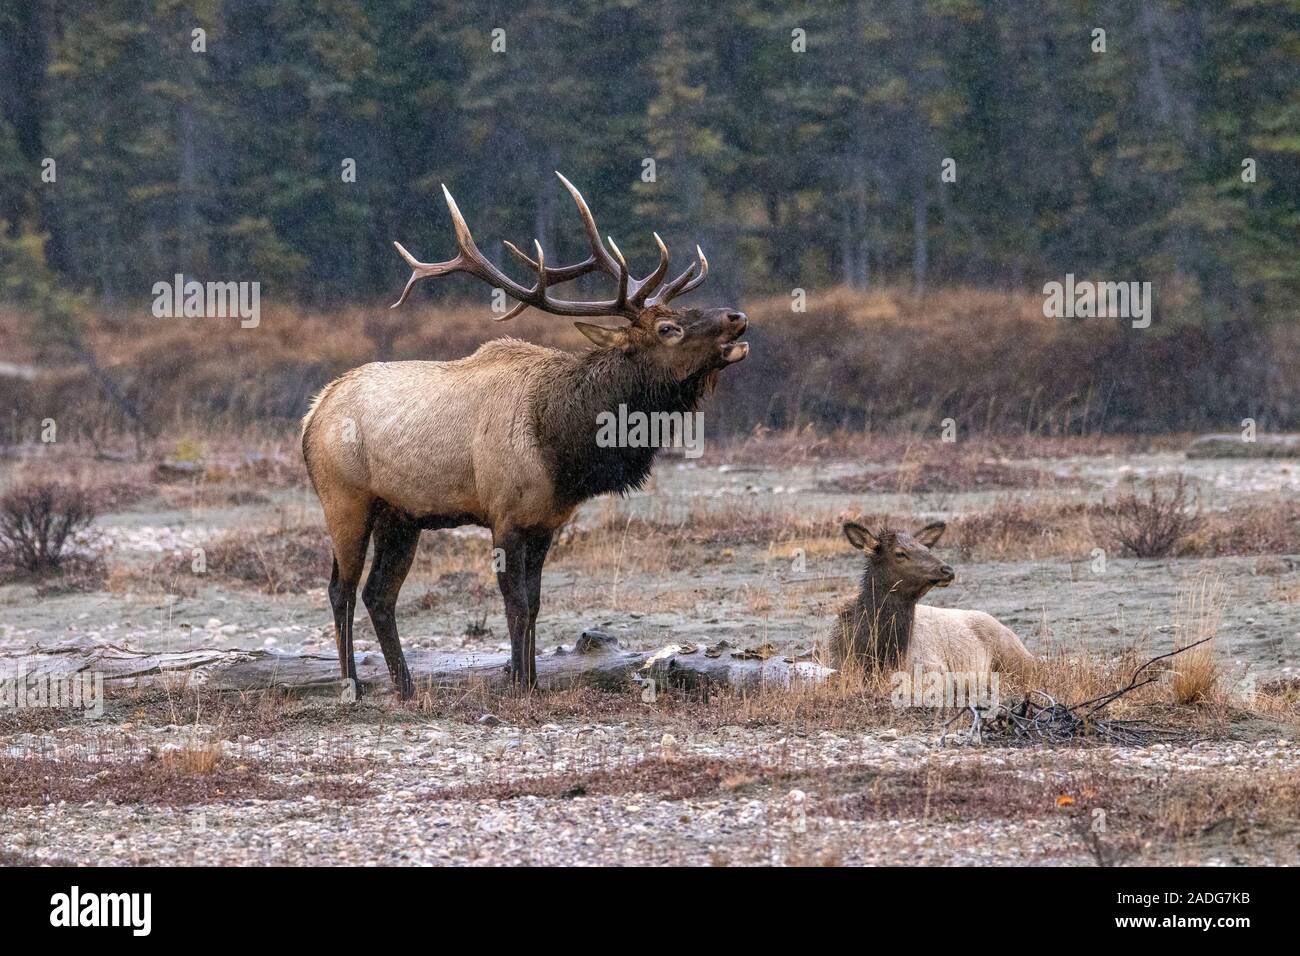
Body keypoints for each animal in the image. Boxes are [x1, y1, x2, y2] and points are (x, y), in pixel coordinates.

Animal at [301, 173, 749, 698]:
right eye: (668, 327)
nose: (737, 317)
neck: (560, 446)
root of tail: (312, 413)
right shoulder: (505, 515)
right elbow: (513, 603)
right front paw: (517, 683)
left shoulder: (546, 522)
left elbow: (534, 604)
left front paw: (531, 679)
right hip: (345, 499)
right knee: (341, 589)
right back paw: (351, 683)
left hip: (401, 515)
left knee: (379, 594)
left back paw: (407, 687)